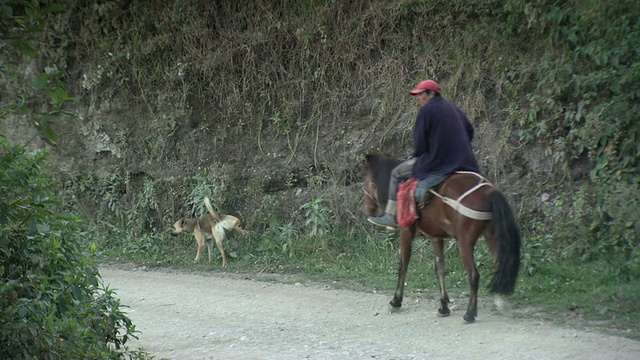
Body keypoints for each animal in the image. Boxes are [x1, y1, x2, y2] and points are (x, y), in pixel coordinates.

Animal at [364, 153, 520, 322]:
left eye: (365, 181)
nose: (367, 209)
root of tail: (488, 192)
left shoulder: (406, 232)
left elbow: (403, 264)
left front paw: (396, 301)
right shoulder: (436, 237)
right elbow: (440, 268)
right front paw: (444, 306)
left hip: (464, 242)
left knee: (474, 274)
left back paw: (470, 313)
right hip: (492, 237)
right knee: (502, 266)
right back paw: (500, 300)